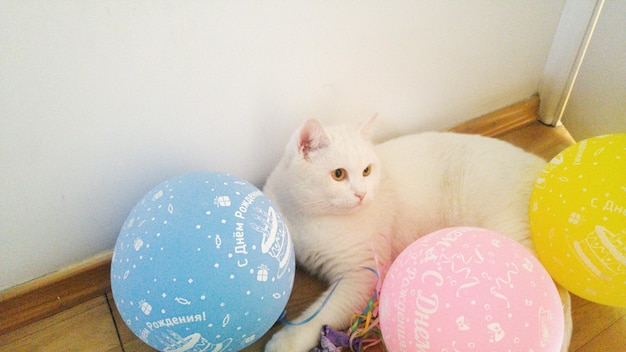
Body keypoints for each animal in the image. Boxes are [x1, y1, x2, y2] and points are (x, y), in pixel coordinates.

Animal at [262, 118, 572, 352]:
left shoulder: (362, 275)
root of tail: (542, 168)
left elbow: (322, 315)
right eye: (338, 174)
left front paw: (286, 341)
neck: (311, 217)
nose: (361, 194)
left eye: (366, 170)